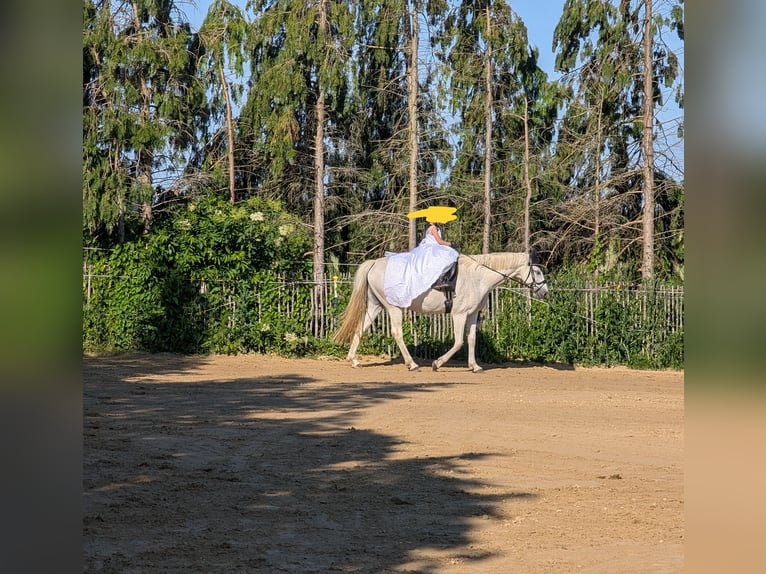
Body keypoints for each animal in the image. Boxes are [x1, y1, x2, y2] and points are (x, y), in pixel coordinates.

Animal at [333, 251, 548, 372]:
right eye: (537, 272)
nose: (545, 292)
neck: (478, 277)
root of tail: (375, 263)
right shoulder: (459, 314)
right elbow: (459, 341)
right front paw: (437, 364)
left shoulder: (471, 314)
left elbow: (471, 339)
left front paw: (475, 366)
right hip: (393, 308)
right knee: (396, 333)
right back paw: (412, 364)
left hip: (376, 305)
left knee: (360, 328)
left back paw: (354, 360)